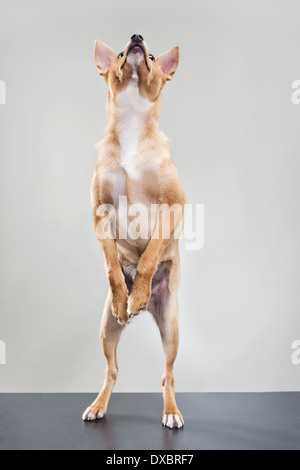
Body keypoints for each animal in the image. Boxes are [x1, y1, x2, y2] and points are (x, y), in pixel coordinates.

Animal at [82, 34, 185, 430]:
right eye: (122, 54)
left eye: (153, 57)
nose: (137, 37)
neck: (130, 126)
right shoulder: (100, 213)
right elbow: (113, 265)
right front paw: (123, 294)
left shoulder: (174, 207)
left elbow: (149, 256)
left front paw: (137, 291)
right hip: (107, 330)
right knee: (111, 371)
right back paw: (98, 405)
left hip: (170, 327)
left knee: (167, 375)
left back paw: (171, 411)